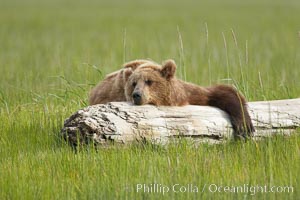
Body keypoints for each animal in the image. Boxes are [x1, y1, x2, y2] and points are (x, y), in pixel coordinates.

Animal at [125, 59, 254, 138]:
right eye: (134, 83)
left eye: (149, 81)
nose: (136, 95)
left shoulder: (195, 95)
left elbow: (223, 93)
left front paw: (245, 128)